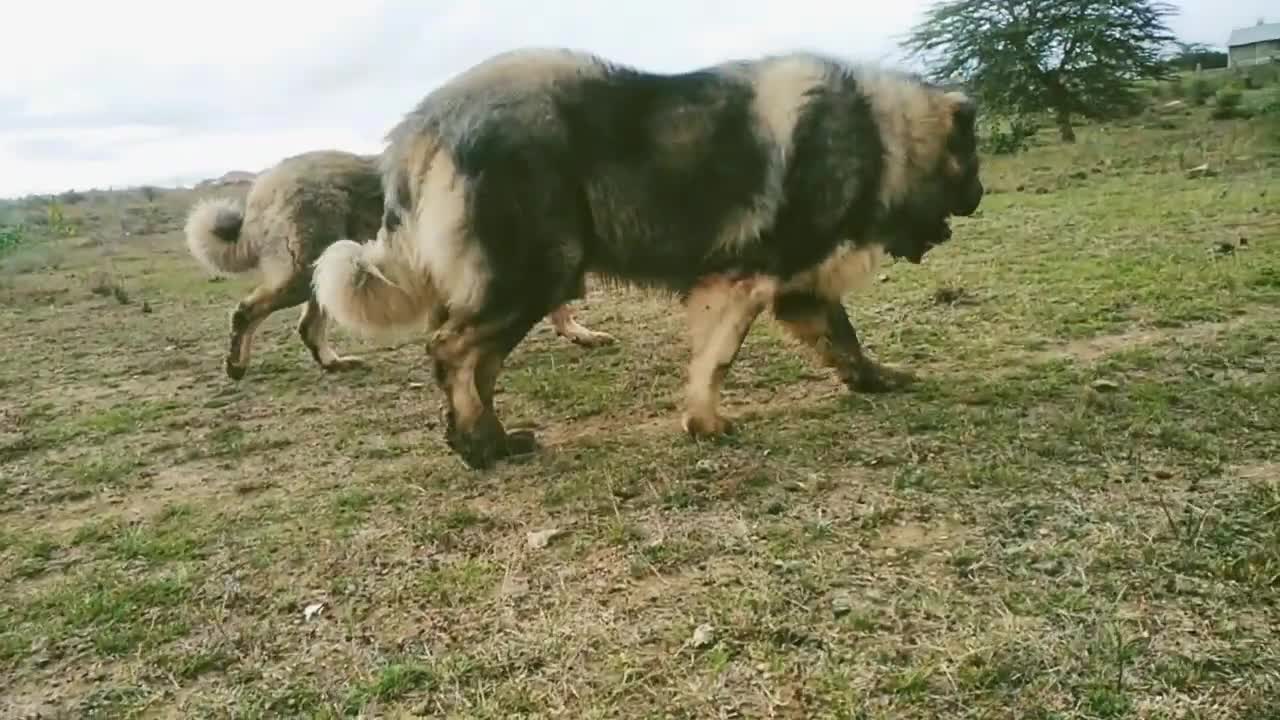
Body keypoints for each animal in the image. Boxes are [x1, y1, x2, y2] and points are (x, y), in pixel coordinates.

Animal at [184, 147, 614, 379]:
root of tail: (266, 180)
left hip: (327, 274)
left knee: (307, 327)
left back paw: (333, 363)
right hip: (304, 274)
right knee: (246, 311)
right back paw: (237, 365)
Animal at [312, 49, 988, 466]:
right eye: (973, 161)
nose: (981, 197)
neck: (884, 133)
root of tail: (422, 124)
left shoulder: (795, 287)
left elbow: (844, 341)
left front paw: (878, 380)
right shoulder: (749, 278)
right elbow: (719, 359)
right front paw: (707, 425)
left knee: (478, 364)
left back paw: (490, 441)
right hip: (536, 274)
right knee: (452, 351)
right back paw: (481, 447)